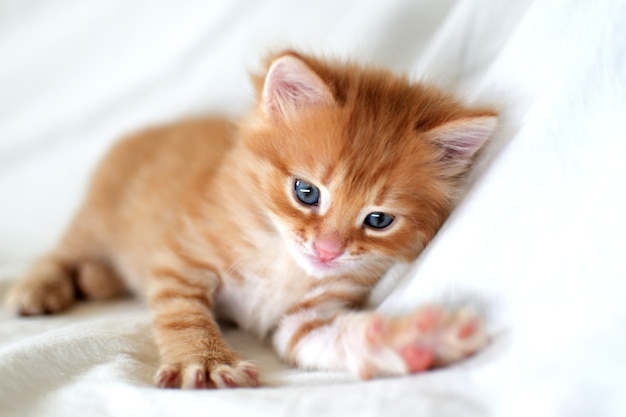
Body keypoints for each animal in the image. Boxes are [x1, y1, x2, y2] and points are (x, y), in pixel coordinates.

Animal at [3, 50, 492, 388]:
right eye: (306, 192)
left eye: (378, 220)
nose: (327, 251)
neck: (281, 257)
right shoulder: (181, 260)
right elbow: (184, 315)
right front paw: (204, 361)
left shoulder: (307, 318)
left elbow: (337, 336)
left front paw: (415, 341)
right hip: (94, 221)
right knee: (59, 254)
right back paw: (37, 290)